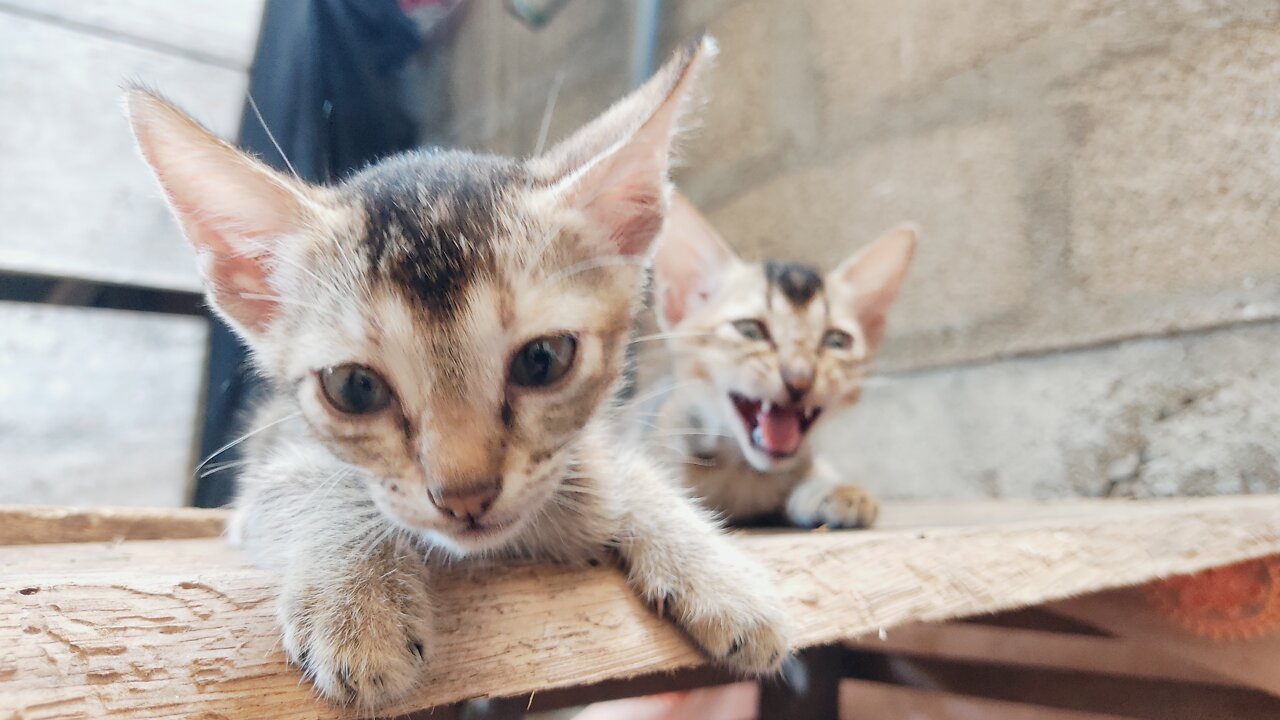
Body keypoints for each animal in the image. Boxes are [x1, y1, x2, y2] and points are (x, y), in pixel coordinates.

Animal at [127, 39, 788, 707]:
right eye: (354, 388)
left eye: (543, 359)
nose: (465, 496)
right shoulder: (269, 474)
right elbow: (318, 482)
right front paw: (359, 601)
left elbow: (611, 473)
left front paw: (714, 569)